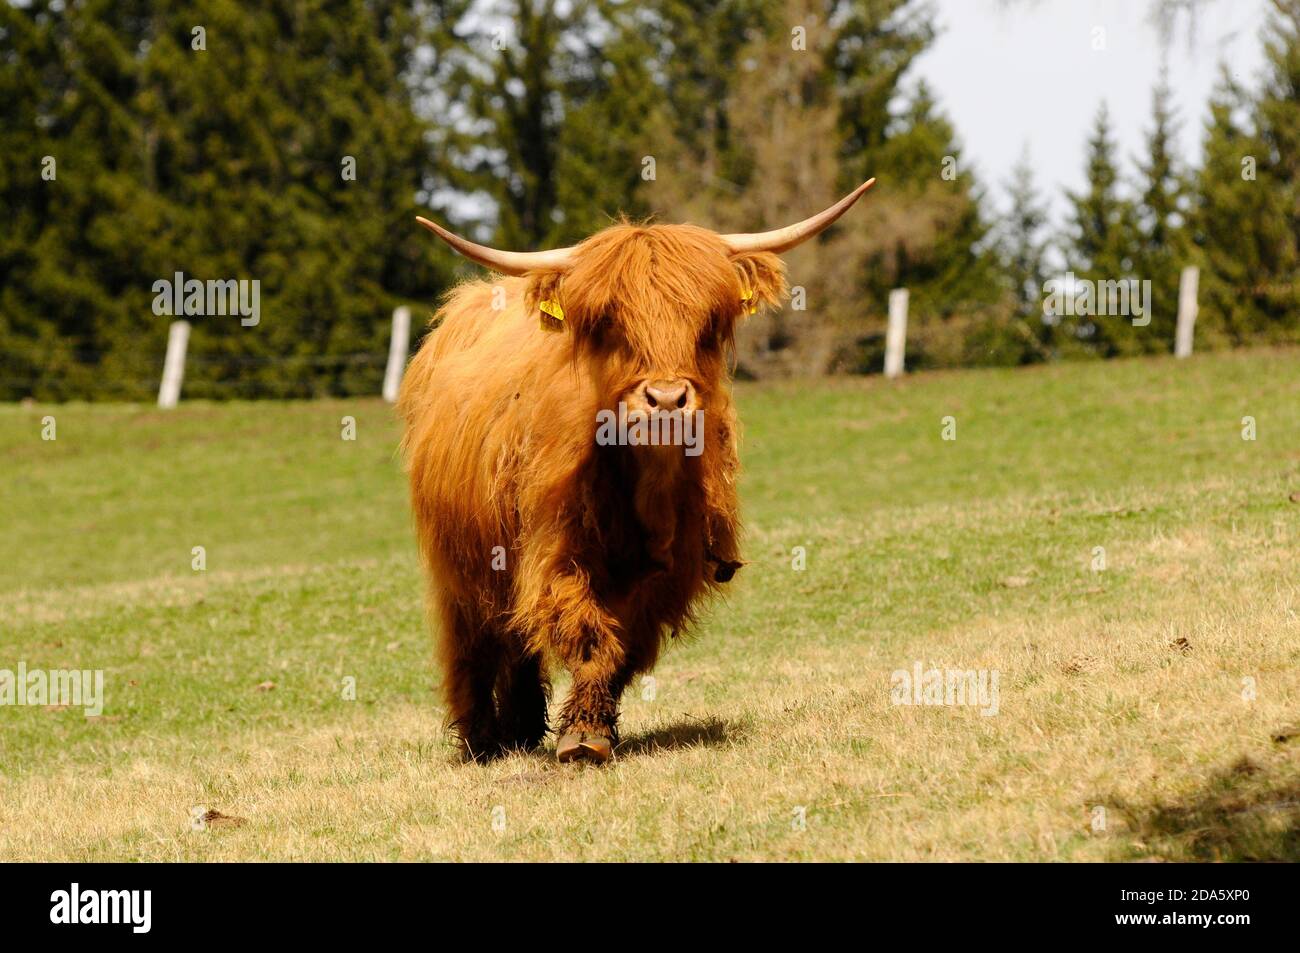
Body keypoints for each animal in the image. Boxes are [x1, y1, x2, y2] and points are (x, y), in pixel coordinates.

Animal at [397, 179, 875, 763]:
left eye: (707, 324)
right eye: (609, 325)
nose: (666, 400)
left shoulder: (670, 571)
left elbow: (622, 645)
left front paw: (591, 727)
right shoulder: (554, 552)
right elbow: (584, 630)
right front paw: (581, 739)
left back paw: (522, 727)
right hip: (461, 557)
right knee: (475, 636)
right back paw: (482, 739)